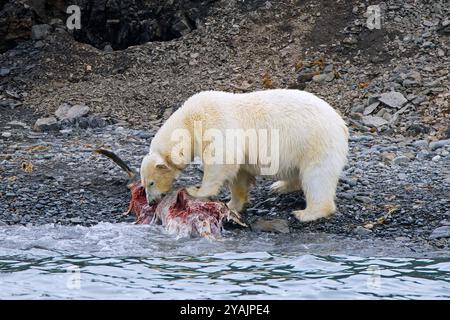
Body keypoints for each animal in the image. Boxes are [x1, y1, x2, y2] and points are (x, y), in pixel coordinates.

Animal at [140, 89, 348, 221]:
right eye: (144, 184)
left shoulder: (216, 124)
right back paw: (279, 186)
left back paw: (306, 213)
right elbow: (239, 174)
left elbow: (222, 159)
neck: (190, 120)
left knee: (317, 176)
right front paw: (232, 204)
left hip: (315, 141)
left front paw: (196, 190)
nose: (151, 202)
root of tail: (341, 124)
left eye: (151, 183)